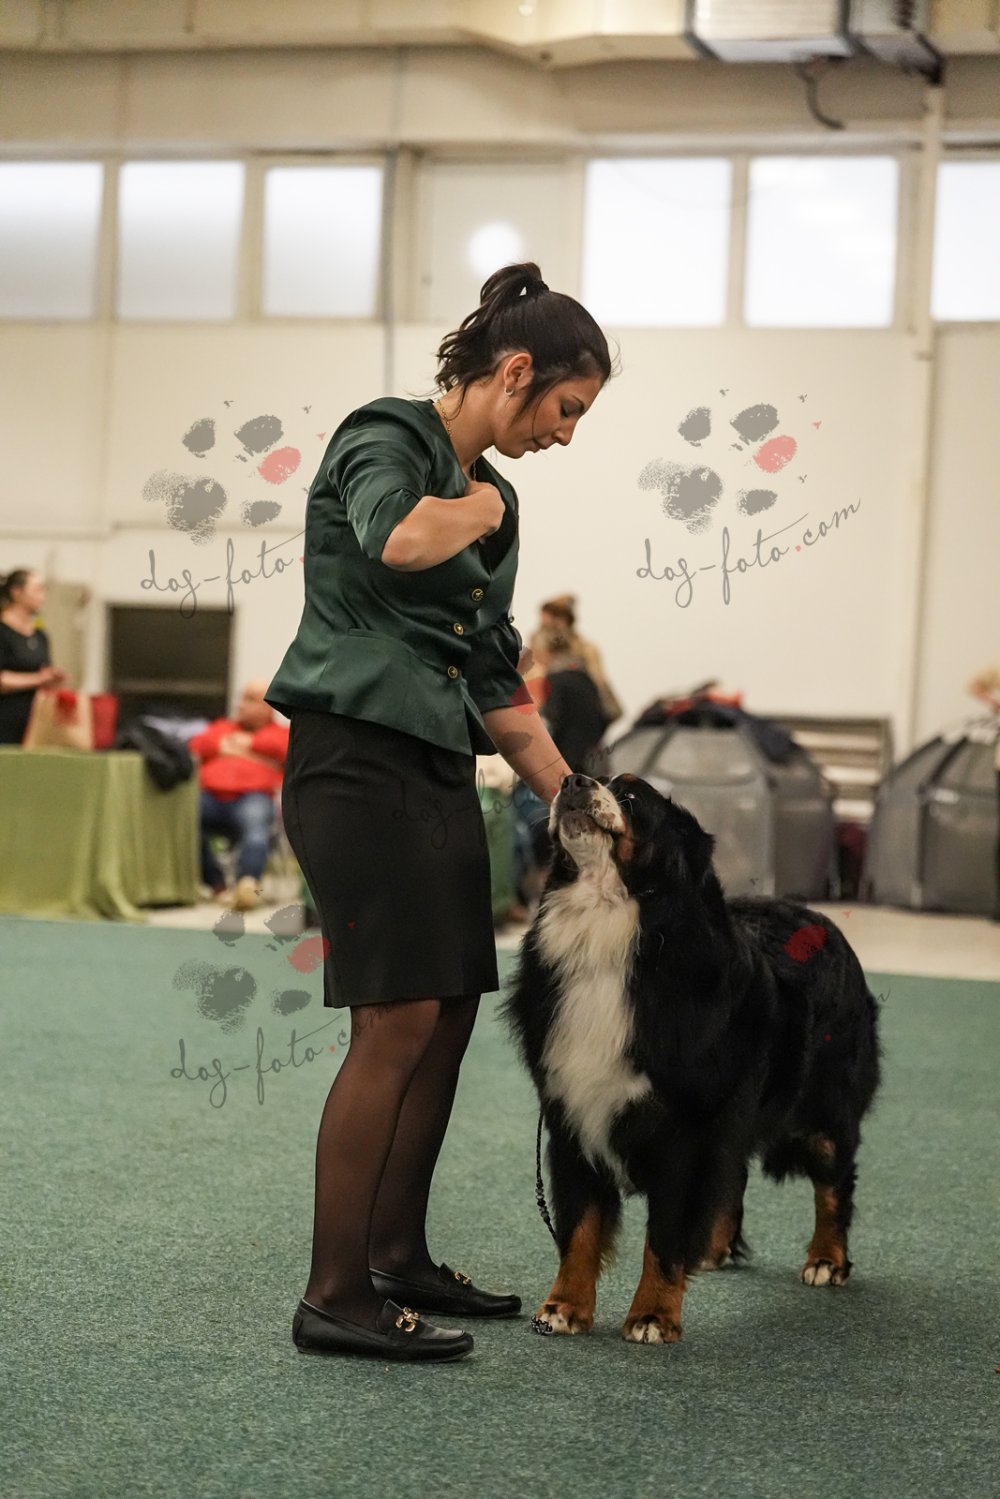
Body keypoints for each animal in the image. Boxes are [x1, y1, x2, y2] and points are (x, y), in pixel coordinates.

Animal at [501, 772, 882, 1344]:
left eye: (630, 796)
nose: (572, 780)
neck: (611, 929)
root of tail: (818, 917)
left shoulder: (687, 1129)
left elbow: (665, 1233)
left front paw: (653, 1315)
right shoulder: (572, 1117)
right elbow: (581, 1227)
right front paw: (564, 1307)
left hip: (824, 1110)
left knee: (835, 1182)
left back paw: (826, 1260)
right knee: (735, 1173)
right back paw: (712, 1250)